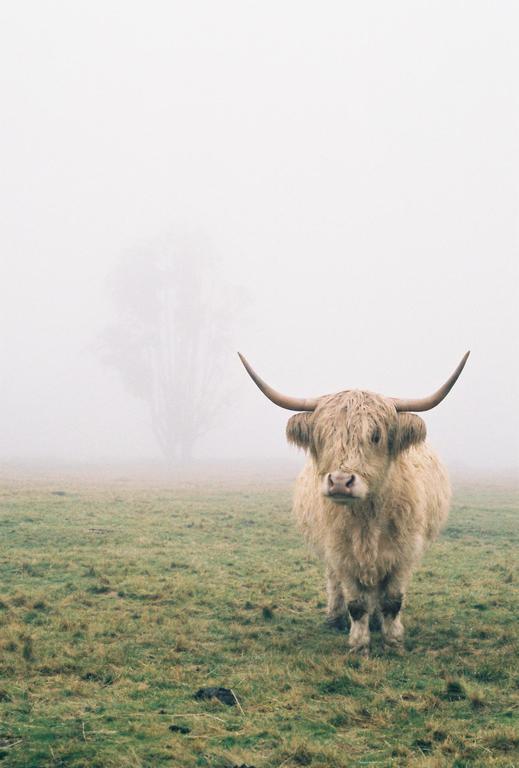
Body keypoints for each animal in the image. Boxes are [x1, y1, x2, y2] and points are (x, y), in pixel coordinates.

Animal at [238, 351, 469, 655]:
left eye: (376, 435)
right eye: (322, 436)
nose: (339, 481)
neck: (367, 520)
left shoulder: (403, 553)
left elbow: (392, 600)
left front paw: (393, 642)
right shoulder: (341, 553)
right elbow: (356, 603)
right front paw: (359, 645)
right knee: (336, 584)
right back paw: (335, 618)